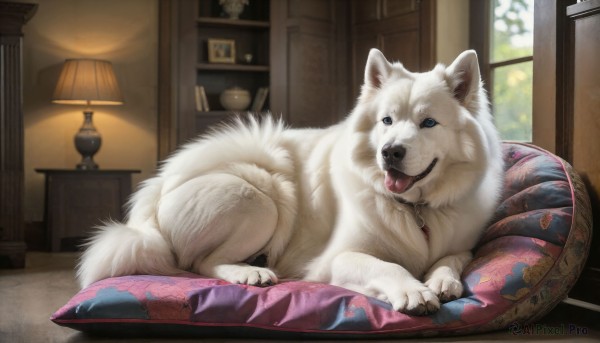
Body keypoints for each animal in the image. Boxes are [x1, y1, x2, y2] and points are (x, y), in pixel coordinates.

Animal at [78, 49, 502, 316]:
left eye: (428, 122)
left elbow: (452, 258)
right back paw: (250, 272)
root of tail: (153, 198)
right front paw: (414, 290)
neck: (414, 209)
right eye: (387, 120)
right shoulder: (337, 258)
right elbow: (388, 267)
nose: (390, 152)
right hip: (261, 194)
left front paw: (443, 280)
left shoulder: (462, 243)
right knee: (200, 263)